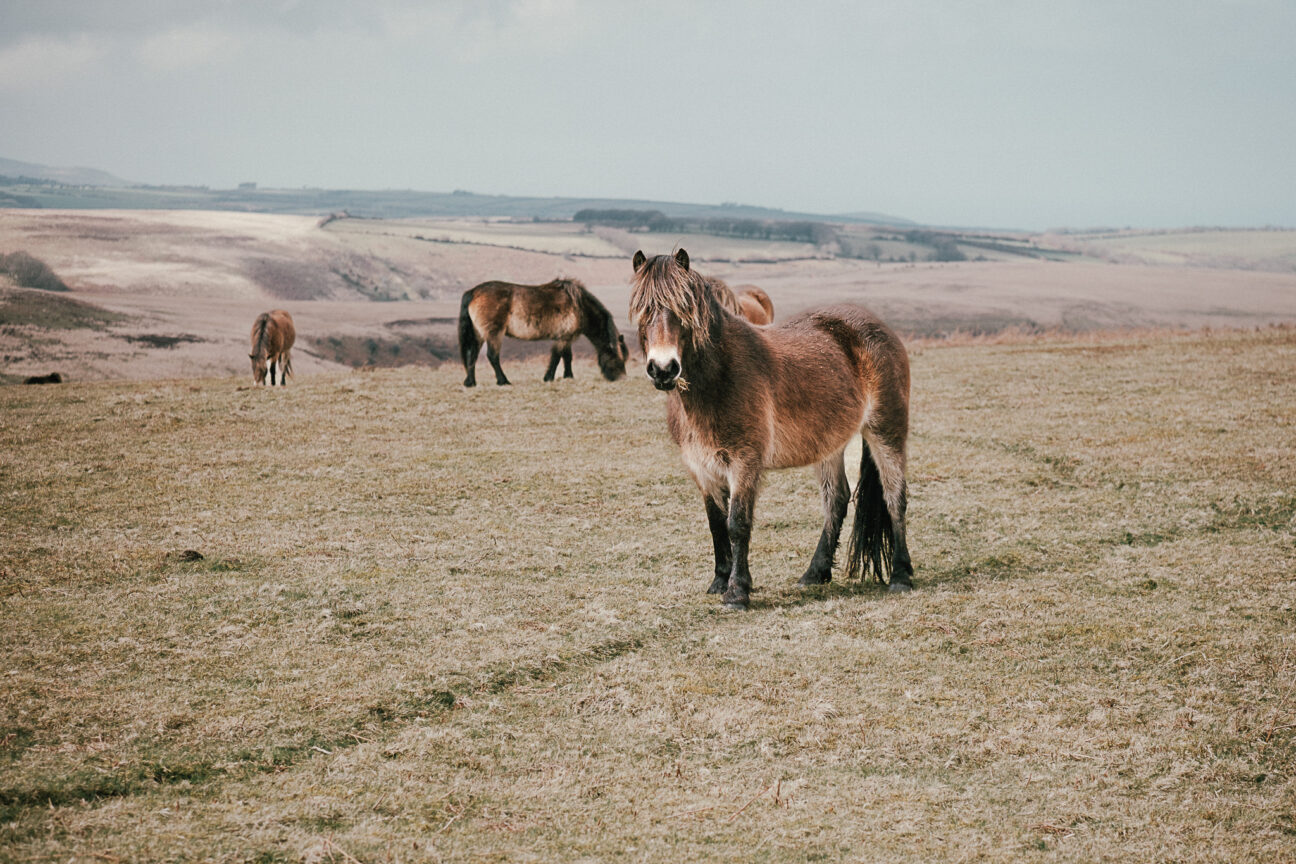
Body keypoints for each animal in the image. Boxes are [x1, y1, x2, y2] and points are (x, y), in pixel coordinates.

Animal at [461, 278, 627, 386]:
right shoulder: (563, 338)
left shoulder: (566, 338)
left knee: (472, 355)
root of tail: (474, 292)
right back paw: (503, 381)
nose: (622, 378)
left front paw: (568, 376)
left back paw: (471, 382)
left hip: (479, 335)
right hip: (494, 334)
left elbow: (567, 357)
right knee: (493, 356)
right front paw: (549, 377)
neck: (579, 306)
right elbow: (557, 357)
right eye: (618, 358)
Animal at [627, 246, 912, 611]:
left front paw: (737, 592)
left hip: (886, 431)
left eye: (684, 309)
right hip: (829, 444)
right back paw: (814, 573)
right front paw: (719, 581)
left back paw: (901, 576)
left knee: (895, 497)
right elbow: (716, 524)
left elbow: (737, 524)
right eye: (642, 309)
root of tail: (878, 327)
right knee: (836, 500)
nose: (663, 369)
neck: (719, 378)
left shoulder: (745, 462)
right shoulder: (701, 468)